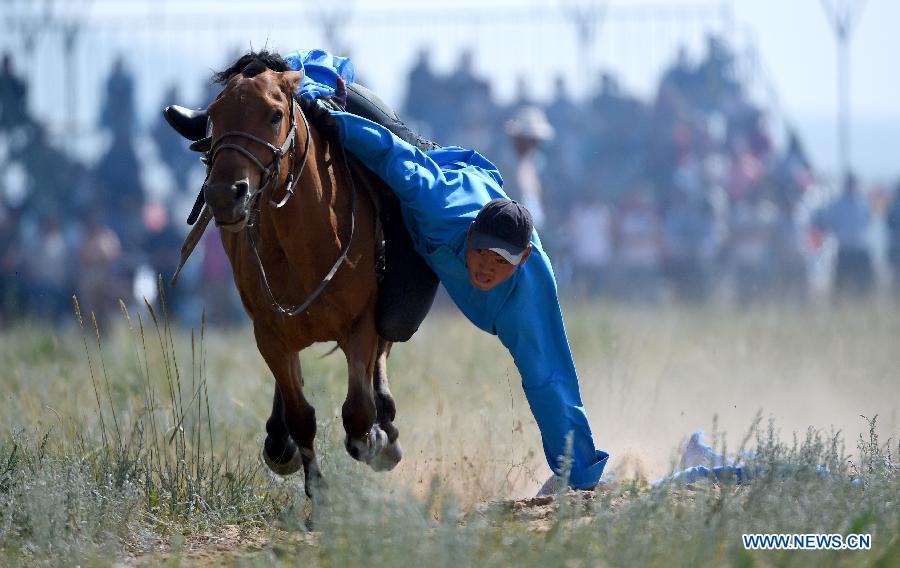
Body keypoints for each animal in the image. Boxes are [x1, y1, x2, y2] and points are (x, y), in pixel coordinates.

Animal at [206, 54, 402, 496]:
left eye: (275, 114)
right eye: (213, 116)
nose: (225, 195)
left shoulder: (361, 322)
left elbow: (358, 411)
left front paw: (376, 437)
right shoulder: (269, 333)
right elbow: (301, 414)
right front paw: (318, 490)